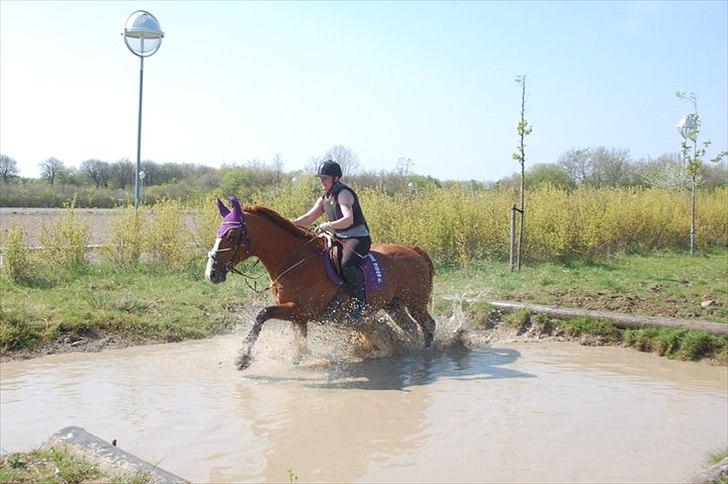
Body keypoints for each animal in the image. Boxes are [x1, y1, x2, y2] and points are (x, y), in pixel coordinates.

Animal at [205, 195, 432, 368]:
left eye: (231, 234)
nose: (211, 273)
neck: (294, 260)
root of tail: (415, 250)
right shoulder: (298, 316)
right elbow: (300, 344)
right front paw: (295, 360)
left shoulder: (301, 310)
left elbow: (262, 314)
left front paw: (242, 357)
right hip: (394, 305)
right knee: (410, 327)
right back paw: (408, 347)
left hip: (415, 303)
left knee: (427, 324)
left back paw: (425, 351)